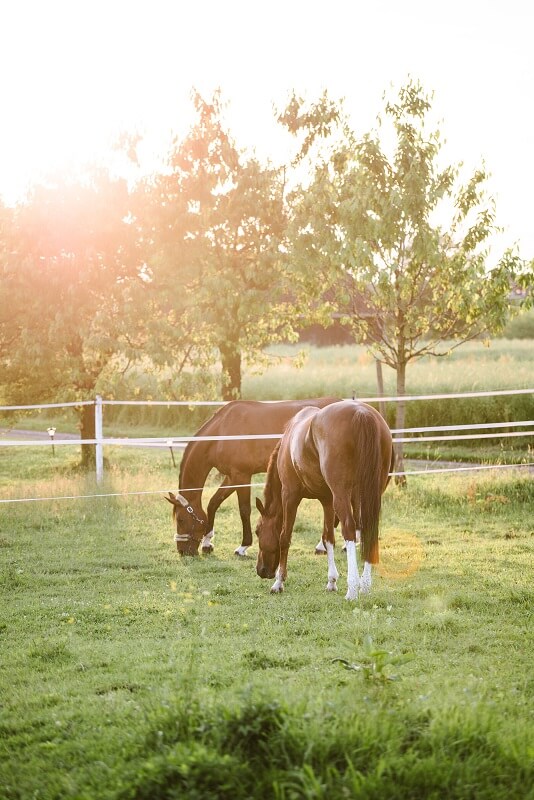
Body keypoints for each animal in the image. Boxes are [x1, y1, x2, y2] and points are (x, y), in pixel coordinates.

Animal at [166, 396, 340, 556]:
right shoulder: (232, 477)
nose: (182, 551)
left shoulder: (242, 476)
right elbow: (213, 503)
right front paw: (207, 543)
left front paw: (243, 546)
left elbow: (244, 510)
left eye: (181, 520)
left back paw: (323, 546)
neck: (222, 431)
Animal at [255, 400, 394, 600]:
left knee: (349, 528)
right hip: (367, 494)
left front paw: (279, 582)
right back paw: (365, 585)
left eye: (257, 531)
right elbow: (328, 538)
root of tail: (361, 412)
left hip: (341, 496)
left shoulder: (289, 495)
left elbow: (284, 537)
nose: (261, 570)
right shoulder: (327, 500)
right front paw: (332, 581)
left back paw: (352, 589)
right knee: (369, 530)